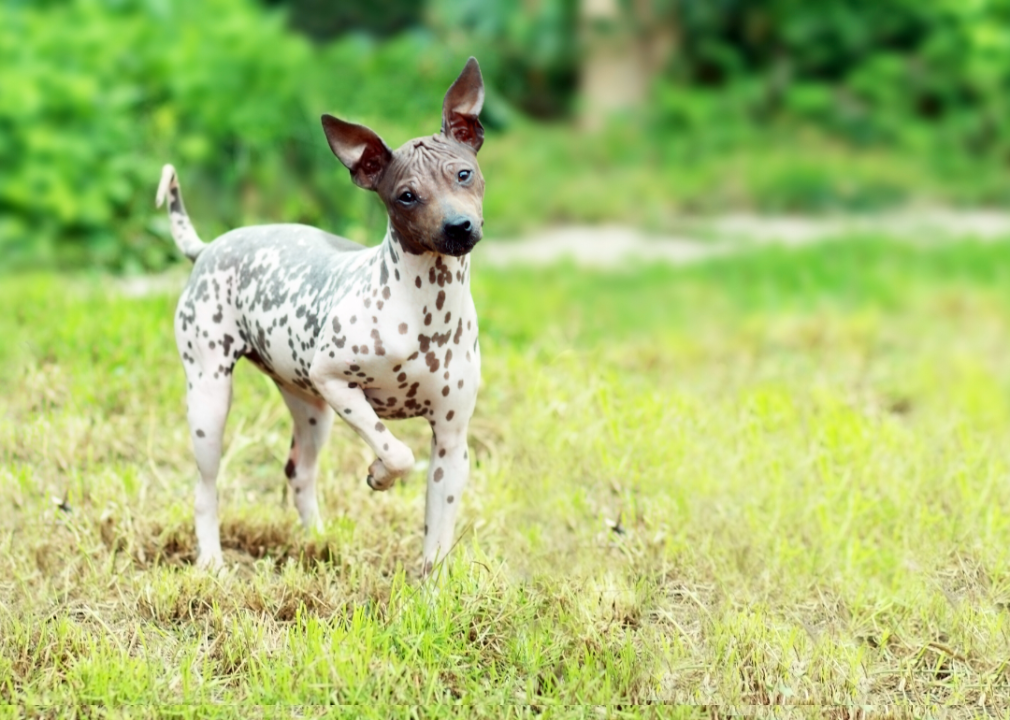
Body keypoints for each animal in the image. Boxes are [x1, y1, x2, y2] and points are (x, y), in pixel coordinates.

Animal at [155, 56, 486, 573]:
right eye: (406, 195)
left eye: (464, 174)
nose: (458, 227)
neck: (425, 310)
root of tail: (208, 247)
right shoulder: (336, 381)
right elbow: (397, 451)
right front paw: (379, 474)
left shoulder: (452, 442)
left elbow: (437, 538)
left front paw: (430, 587)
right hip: (210, 399)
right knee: (206, 488)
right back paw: (212, 562)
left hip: (310, 409)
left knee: (299, 472)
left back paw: (320, 542)